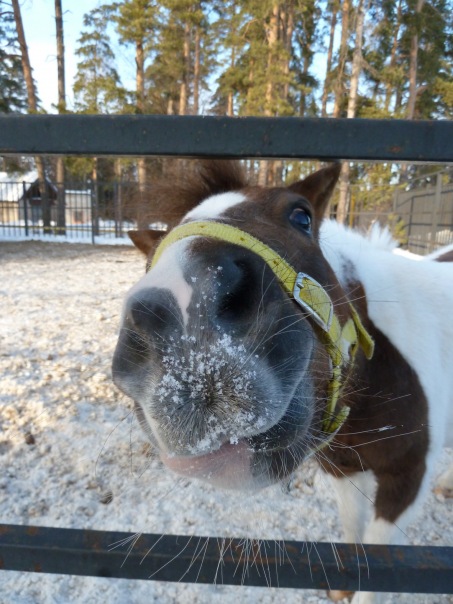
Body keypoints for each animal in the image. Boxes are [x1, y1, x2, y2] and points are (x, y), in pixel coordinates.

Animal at [112, 160, 453, 603]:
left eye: (301, 216)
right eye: (149, 258)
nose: (190, 324)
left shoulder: (407, 480)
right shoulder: (344, 468)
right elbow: (354, 530)